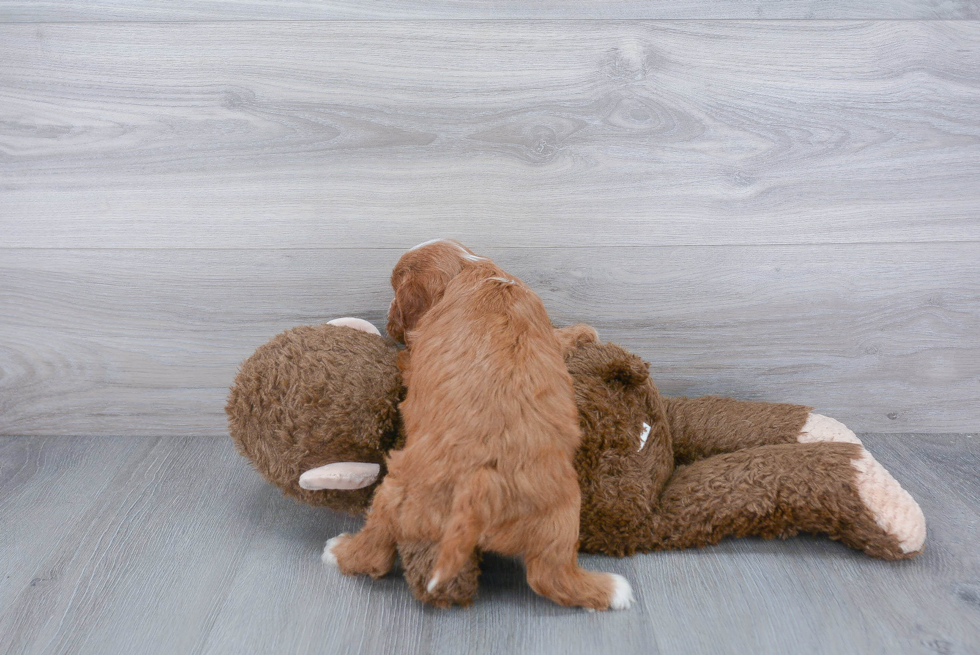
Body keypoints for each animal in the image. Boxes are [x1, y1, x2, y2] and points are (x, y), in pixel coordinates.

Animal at [326, 240, 632, 608]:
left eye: (395, 291)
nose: (387, 314)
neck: (470, 268)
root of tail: (480, 487)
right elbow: (559, 338)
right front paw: (584, 333)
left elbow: (407, 361)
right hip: (561, 516)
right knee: (552, 578)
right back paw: (613, 591)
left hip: (396, 491)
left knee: (376, 547)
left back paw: (338, 551)